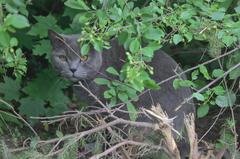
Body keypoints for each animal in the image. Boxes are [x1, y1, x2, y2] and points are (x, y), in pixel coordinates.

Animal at [48, 29, 195, 158]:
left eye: (84, 57)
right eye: (62, 58)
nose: (72, 69)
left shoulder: (104, 107)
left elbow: (105, 131)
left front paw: (101, 149)